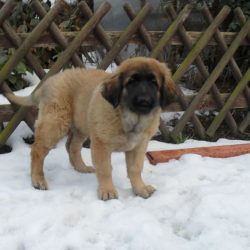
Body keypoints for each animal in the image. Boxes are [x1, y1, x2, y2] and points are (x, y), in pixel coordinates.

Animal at [5, 56, 178, 199]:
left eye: (154, 83)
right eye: (131, 82)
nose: (143, 100)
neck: (131, 118)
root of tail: (49, 81)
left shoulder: (139, 146)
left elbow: (135, 169)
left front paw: (140, 189)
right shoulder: (101, 144)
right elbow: (105, 169)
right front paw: (107, 191)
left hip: (81, 125)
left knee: (71, 146)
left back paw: (81, 168)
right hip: (55, 123)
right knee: (37, 150)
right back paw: (38, 179)